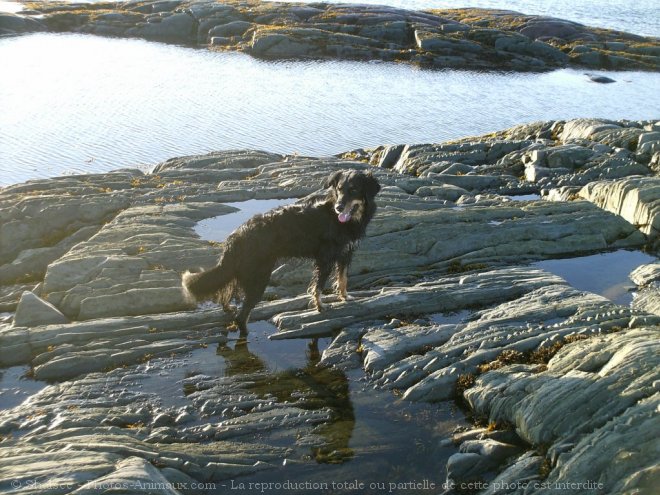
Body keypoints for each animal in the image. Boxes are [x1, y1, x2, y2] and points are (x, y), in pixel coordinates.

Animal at [182, 169, 382, 336]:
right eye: (339, 189)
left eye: (353, 189)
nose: (339, 207)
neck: (346, 219)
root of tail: (236, 235)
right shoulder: (325, 258)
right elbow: (318, 286)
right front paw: (319, 306)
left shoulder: (346, 253)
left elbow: (343, 278)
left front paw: (345, 296)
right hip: (259, 278)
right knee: (242, 315)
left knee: (228, 293)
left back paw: (228, 308)